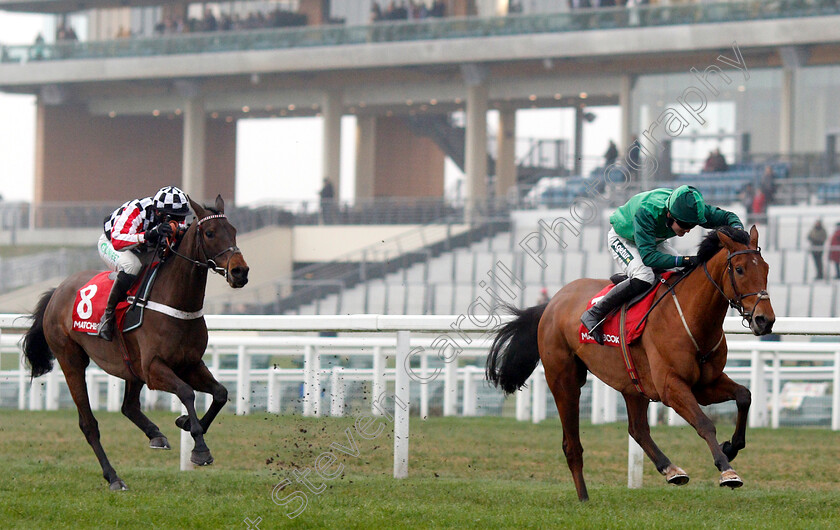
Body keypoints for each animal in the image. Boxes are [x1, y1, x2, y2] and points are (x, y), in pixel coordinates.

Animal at [21, 193, 248, 486]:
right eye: (209, 233)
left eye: (233, 230)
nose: (240, 271)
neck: (175, 302)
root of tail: (57, 291)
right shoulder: (154, 368)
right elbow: (187, 392)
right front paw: (199, 448)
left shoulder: (189, 363)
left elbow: (220, 393)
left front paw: (186, 423)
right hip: (71, 360)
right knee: (88, 424)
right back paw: (113, 477)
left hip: (131, 367)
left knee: (128, 407)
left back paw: (156, 435)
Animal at [486, 225, 776, 498]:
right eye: (739, 269)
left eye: (766, 268)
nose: (765, 320)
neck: (692, 317)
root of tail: (551, 303)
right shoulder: (671, 386)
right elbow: (704, 423)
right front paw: (727, 470)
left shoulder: (705, 384)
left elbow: (744, 395)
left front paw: (732, 447)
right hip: (563, 380)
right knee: (572, 445)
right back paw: (584, 498)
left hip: (632, 383)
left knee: (637, 429)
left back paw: (671, 470)